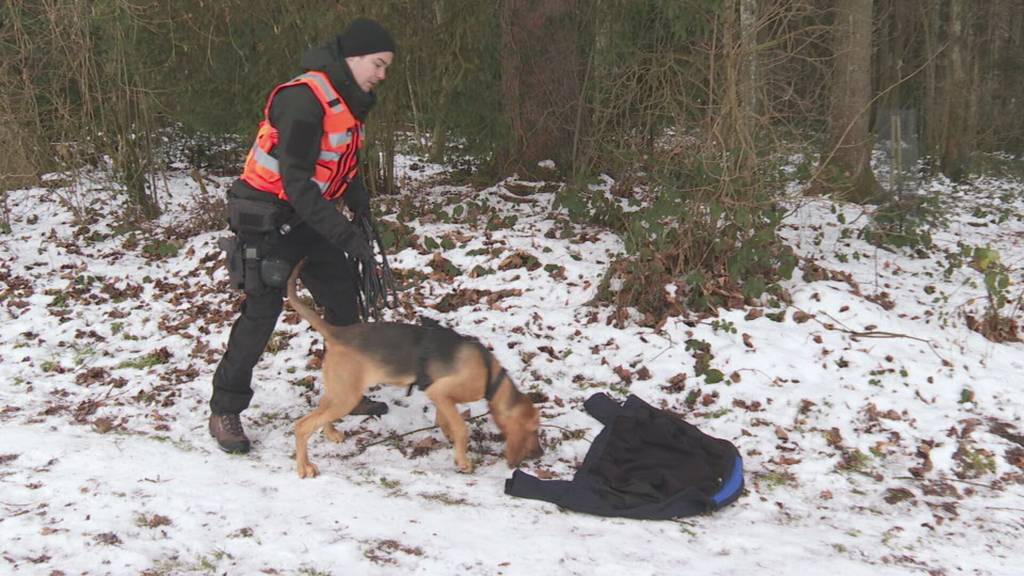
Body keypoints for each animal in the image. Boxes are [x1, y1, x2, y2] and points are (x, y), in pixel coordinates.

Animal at [286, 260, 544, 475]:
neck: (491, 375)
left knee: (320, 409)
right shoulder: (440, 391)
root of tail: (338, 332)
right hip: (346, 397)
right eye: (533, 428)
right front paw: (463, 461)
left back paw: (330, 434)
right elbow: (462, 428)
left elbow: (447, 421)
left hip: (340, 392)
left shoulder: (439, 395)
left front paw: (452, 441)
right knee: (302, 426)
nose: (539, 454)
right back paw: (305, 467)